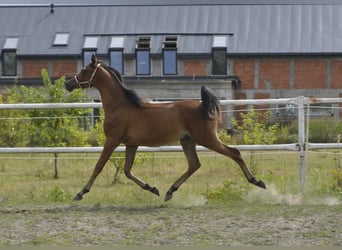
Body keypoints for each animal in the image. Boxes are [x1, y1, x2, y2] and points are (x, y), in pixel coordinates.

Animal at [65, 54, 266, 201]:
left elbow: (99, 166)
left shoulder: (112, 140)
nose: (68, 84)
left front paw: (80, 193)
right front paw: (152, 188)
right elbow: (127, 170)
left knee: (234, 153)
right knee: (194, 164)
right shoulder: (131, 144)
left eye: (84, 70)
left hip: (207, 139)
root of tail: (203, 105)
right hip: (187, 140)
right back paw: (170, 191)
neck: (120, 105)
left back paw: (256, 181)